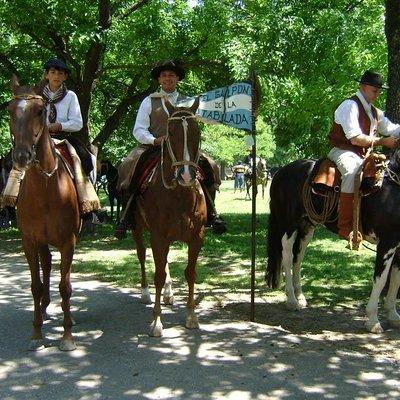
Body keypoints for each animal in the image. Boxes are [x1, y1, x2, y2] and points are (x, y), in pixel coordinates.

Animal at [8, 77, 79, 350]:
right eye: (9, 110)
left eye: (40, 111)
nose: (22, 156)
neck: (47, 187)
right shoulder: (29, 240)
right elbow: (35, 286)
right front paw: (37, 333)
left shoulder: (68, 241)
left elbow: (65, 286)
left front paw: (67, 336)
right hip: (40, 241)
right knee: (46, 264)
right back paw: (45, 307)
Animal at [130, 97, 208, 338]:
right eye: (170, 133)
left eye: (197, 132)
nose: (186, 175)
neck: (180, 195)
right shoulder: (158, 237)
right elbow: (158, 275)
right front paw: (156, 321)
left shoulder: (196, 237)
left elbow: (190, 273)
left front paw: (191, 315)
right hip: (138, 229)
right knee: (142, 255)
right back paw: (146, 293)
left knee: (164, 262)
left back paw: (168, 294)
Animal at [266, 153, 400, 334]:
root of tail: (281, 171)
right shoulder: (387, 242)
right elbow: (381, 280)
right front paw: (373, 320)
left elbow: (396, 279)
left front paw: (393, 315)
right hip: (289, 226)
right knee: (287, 258)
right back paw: (292, 301)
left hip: (306, 228)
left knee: (297, 260)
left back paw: (300, 297)